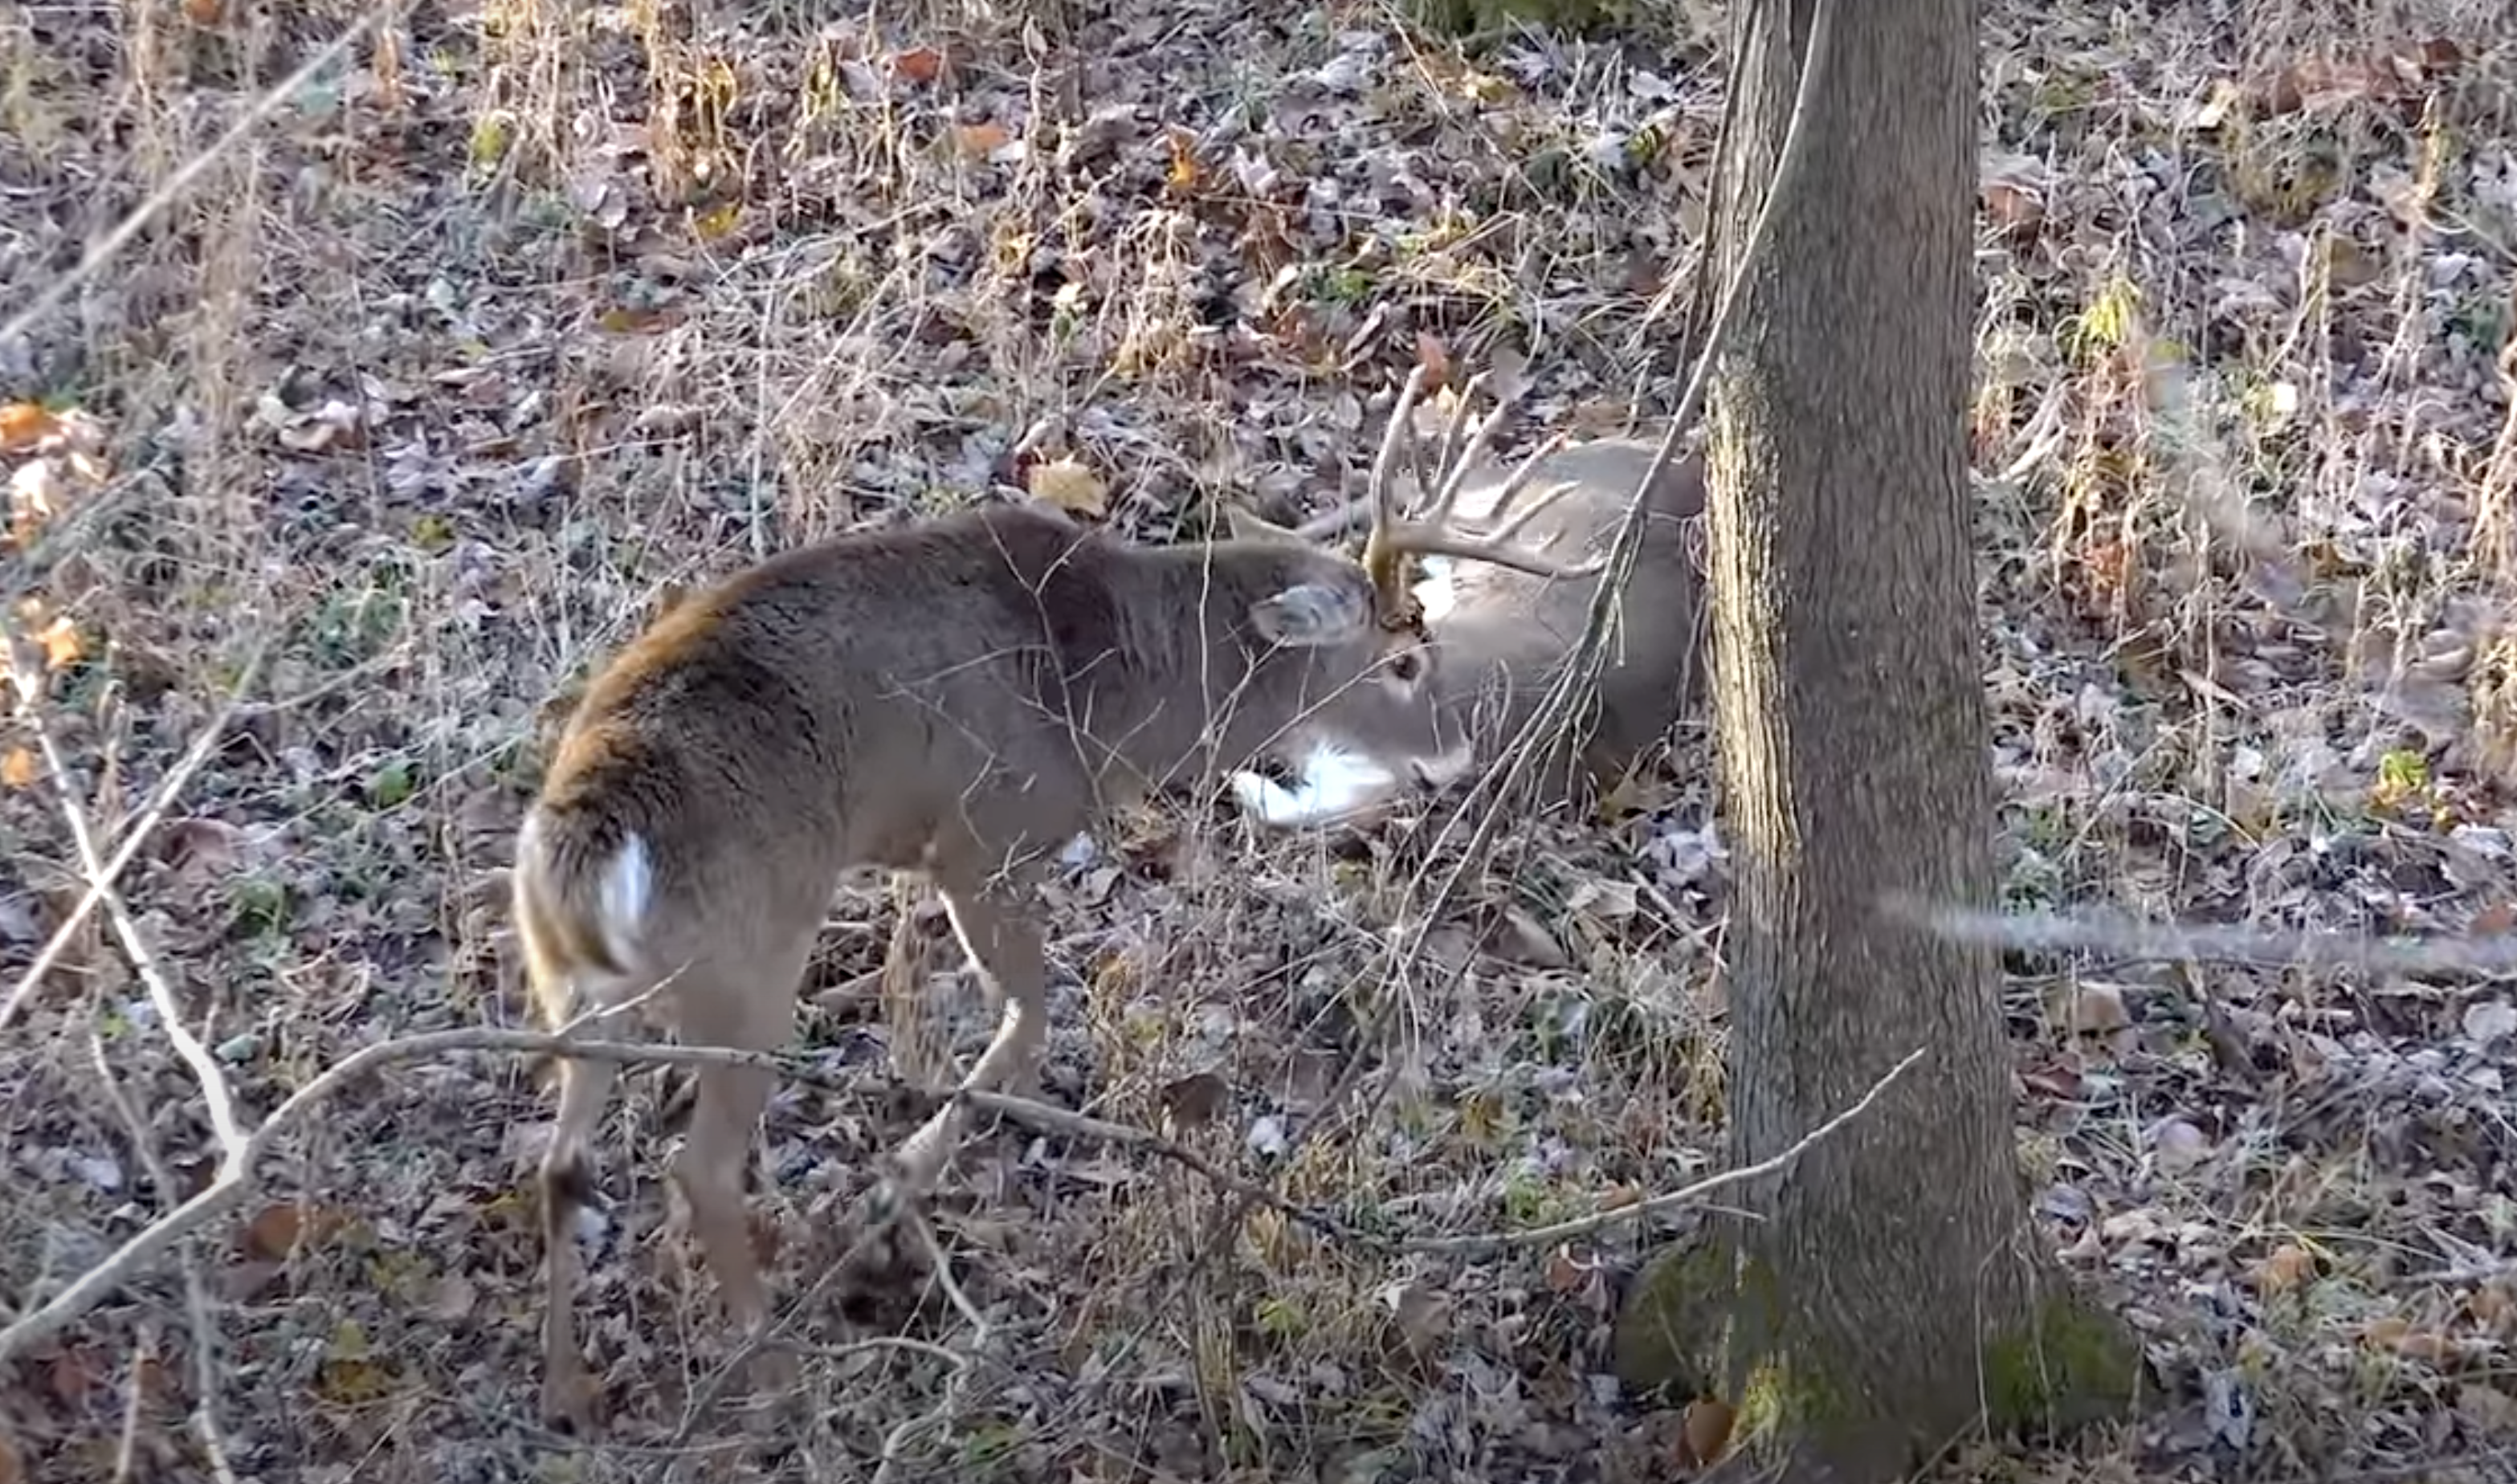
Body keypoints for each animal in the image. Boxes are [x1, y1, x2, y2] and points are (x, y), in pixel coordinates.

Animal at [516, 394, 1590, 1429]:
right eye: (1402, 660)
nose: (1454, 757)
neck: (1116, 688)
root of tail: (590, 844)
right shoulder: (984, 839)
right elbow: (1028, 1016)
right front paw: (895, 1193)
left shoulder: (926, 851)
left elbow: (919, 984)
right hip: (748, 967)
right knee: (697, 1170)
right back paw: (775, 1378)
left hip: (576, 992)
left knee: (562, 1164)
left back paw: (570, 1393)